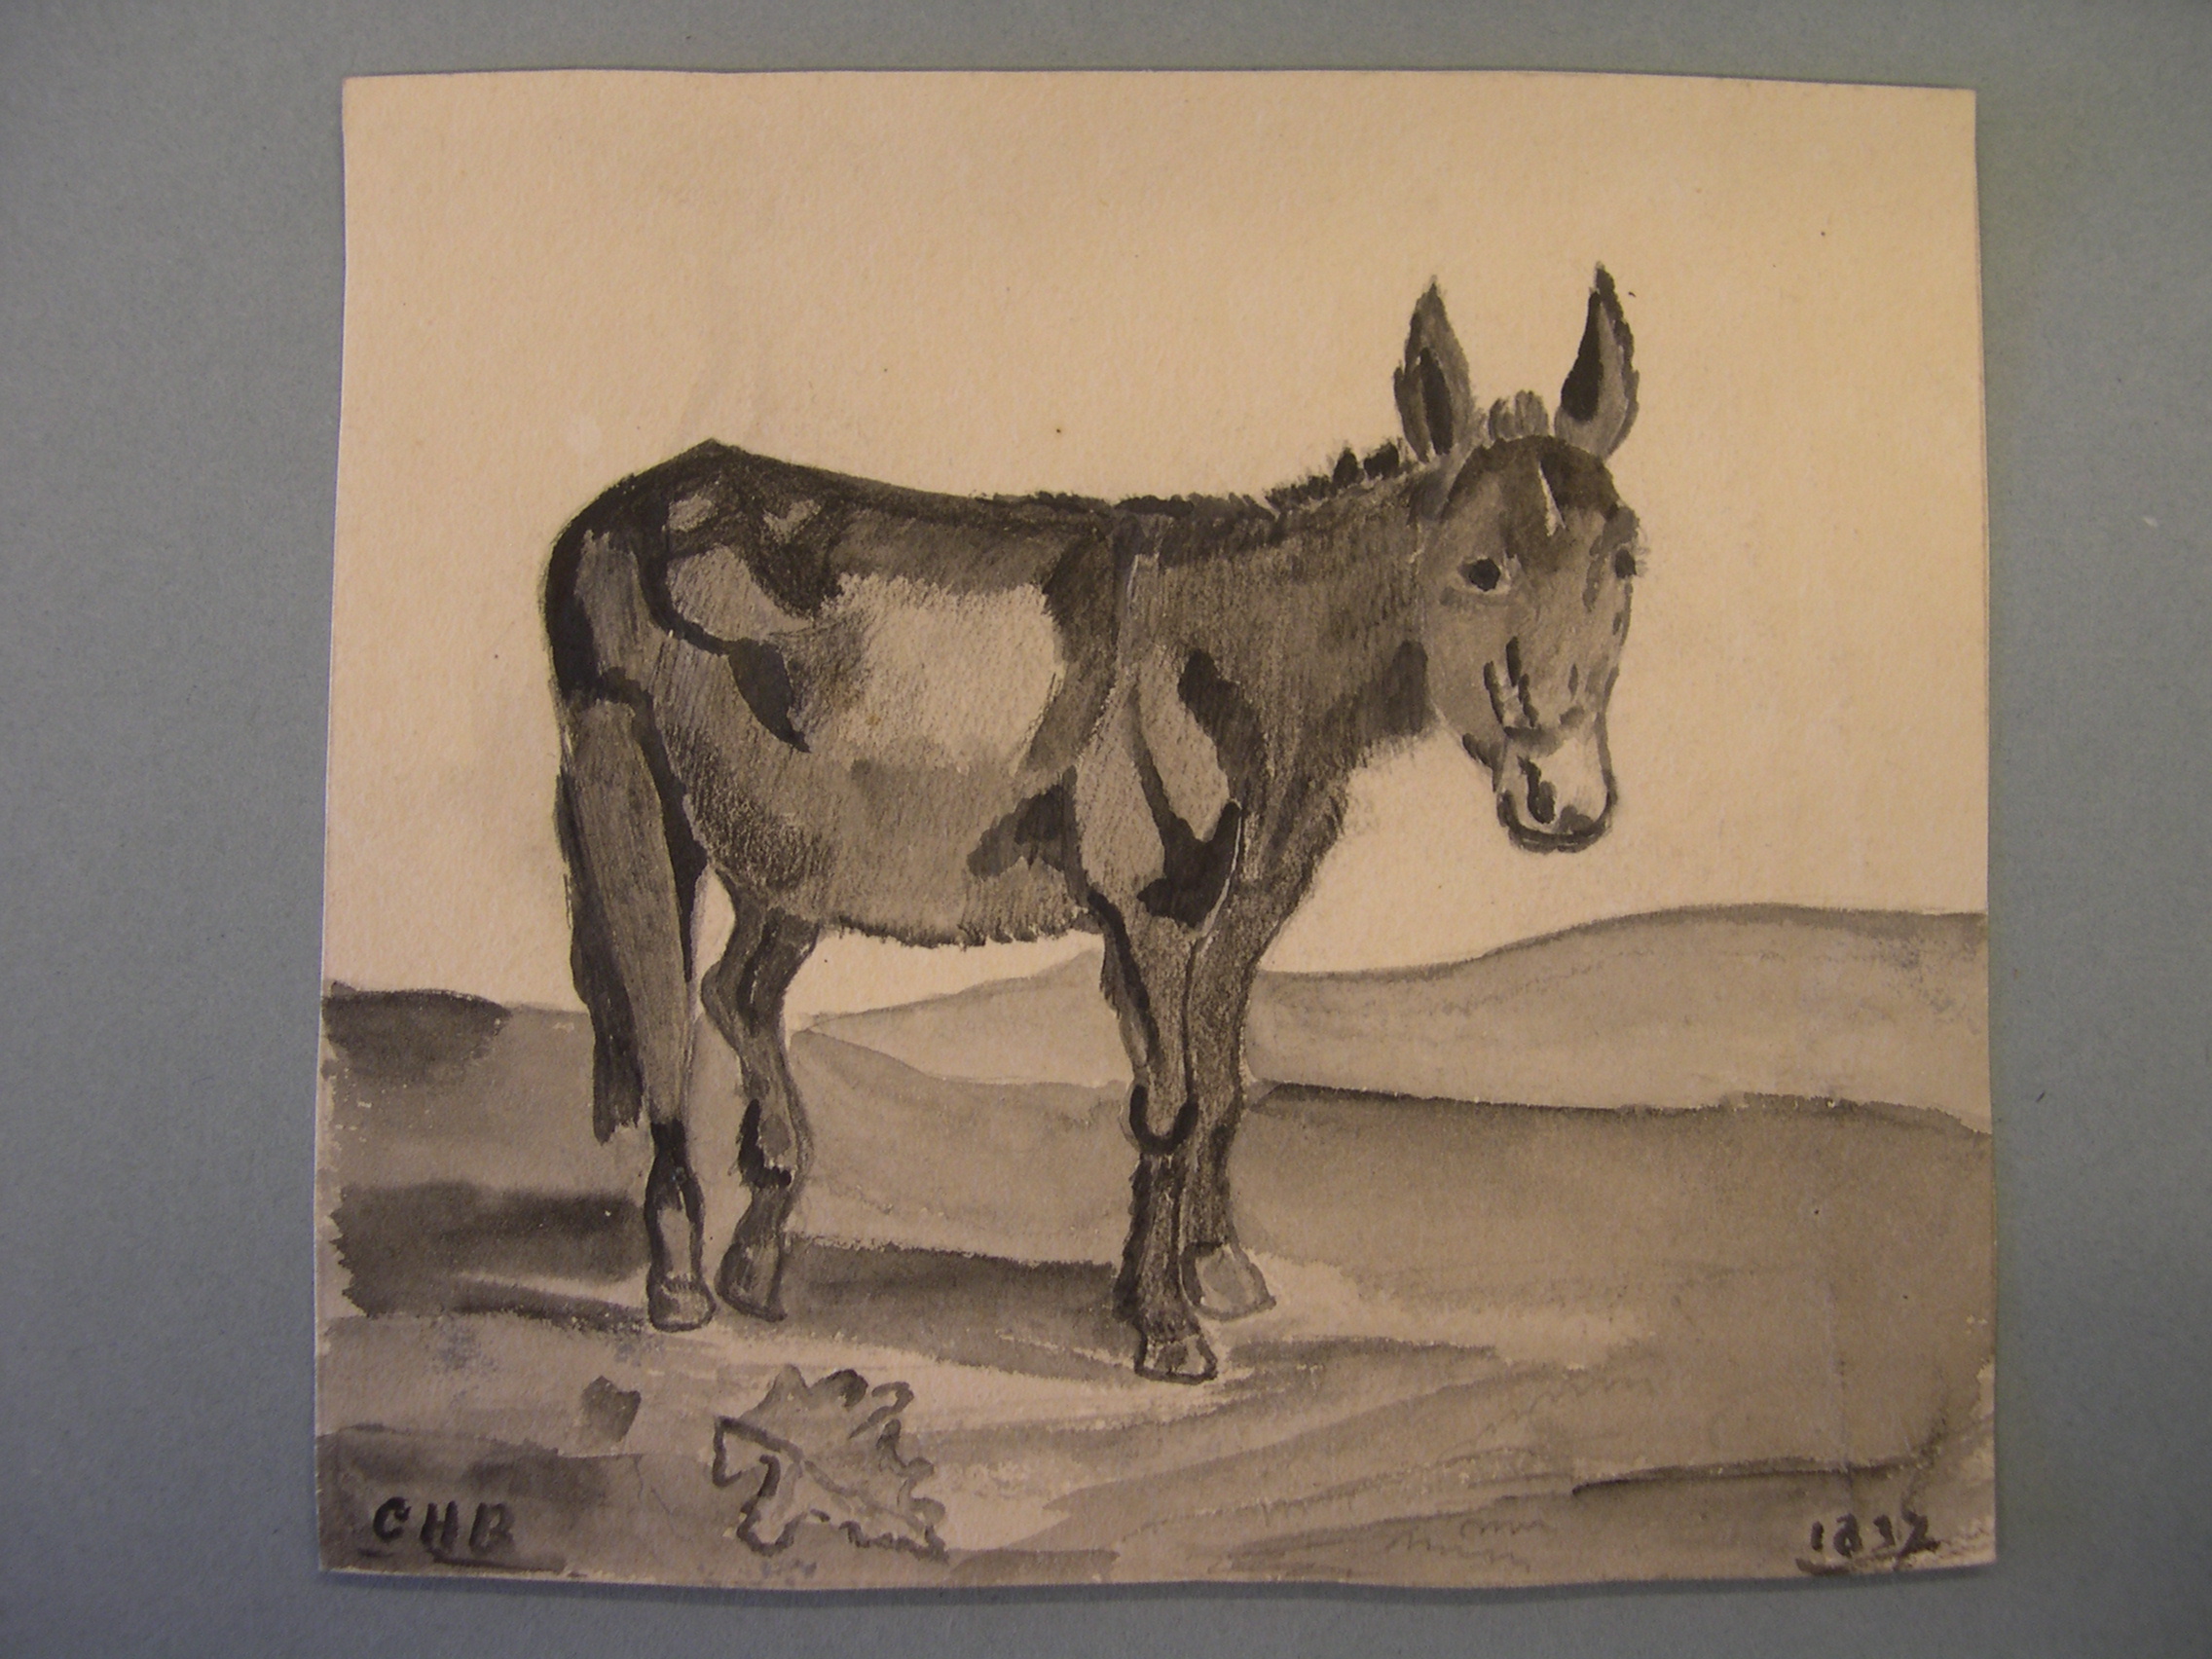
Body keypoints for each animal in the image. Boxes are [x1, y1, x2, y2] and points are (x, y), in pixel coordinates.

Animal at [544, 270, 1644, 1381]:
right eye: (1479, 569)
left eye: (1628, 561)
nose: (1566, 802)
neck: (1242, 656)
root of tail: (630, 498)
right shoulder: (1154, 911)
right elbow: (1170, 1102)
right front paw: (1165, 1326)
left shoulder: (1242, 913)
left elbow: (1223, 1082)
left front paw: (1218, 1269)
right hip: (626, 788)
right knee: (661, 1010)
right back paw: (679, 1281)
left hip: (792, 862)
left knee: (737, 993)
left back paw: (759, 1250)